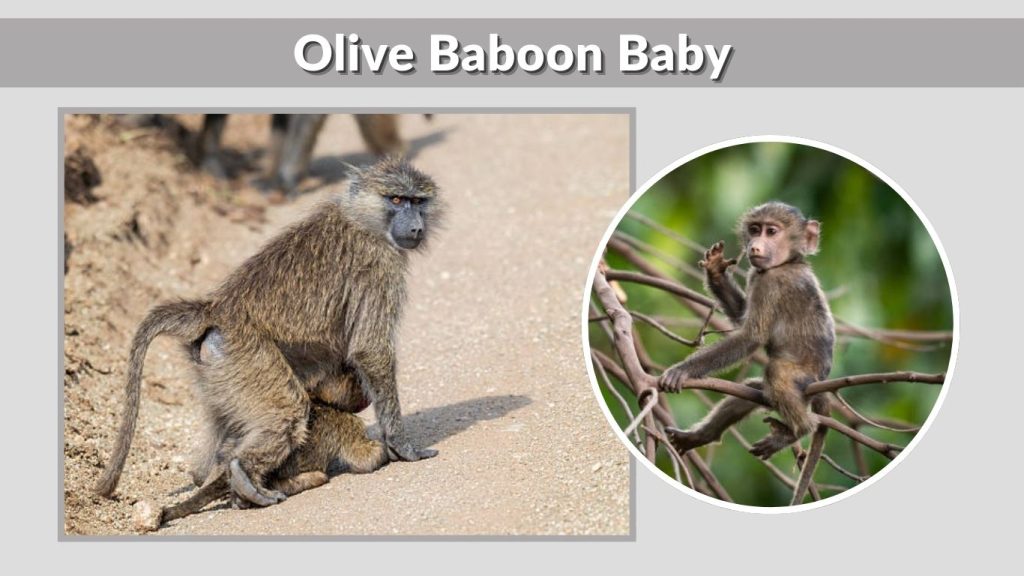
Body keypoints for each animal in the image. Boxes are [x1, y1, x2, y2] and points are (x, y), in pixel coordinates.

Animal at [95, 156, 442, 508]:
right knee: (289, 411)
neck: (362, 219)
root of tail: (216, 310)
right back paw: (244, 477)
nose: (416, 227)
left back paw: (207, 475)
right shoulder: (379, 265)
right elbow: (370, 350)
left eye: (418, 201)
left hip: (217, 367)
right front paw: (403, 446)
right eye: (396, 199)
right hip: (248, 357)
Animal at [659, 202, 834, 460]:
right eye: (754, 229)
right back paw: (699, 437)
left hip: (804, 377)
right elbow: (742, 315)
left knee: (776, 375)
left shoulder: (771, 282)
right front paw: (715, 271)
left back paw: (799, 430)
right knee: (752, 390)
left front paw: (682, 370)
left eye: (771, 231)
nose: (754, 246)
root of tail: (821, 381)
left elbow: (751, 336)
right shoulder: (756, 275)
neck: (789, 263)